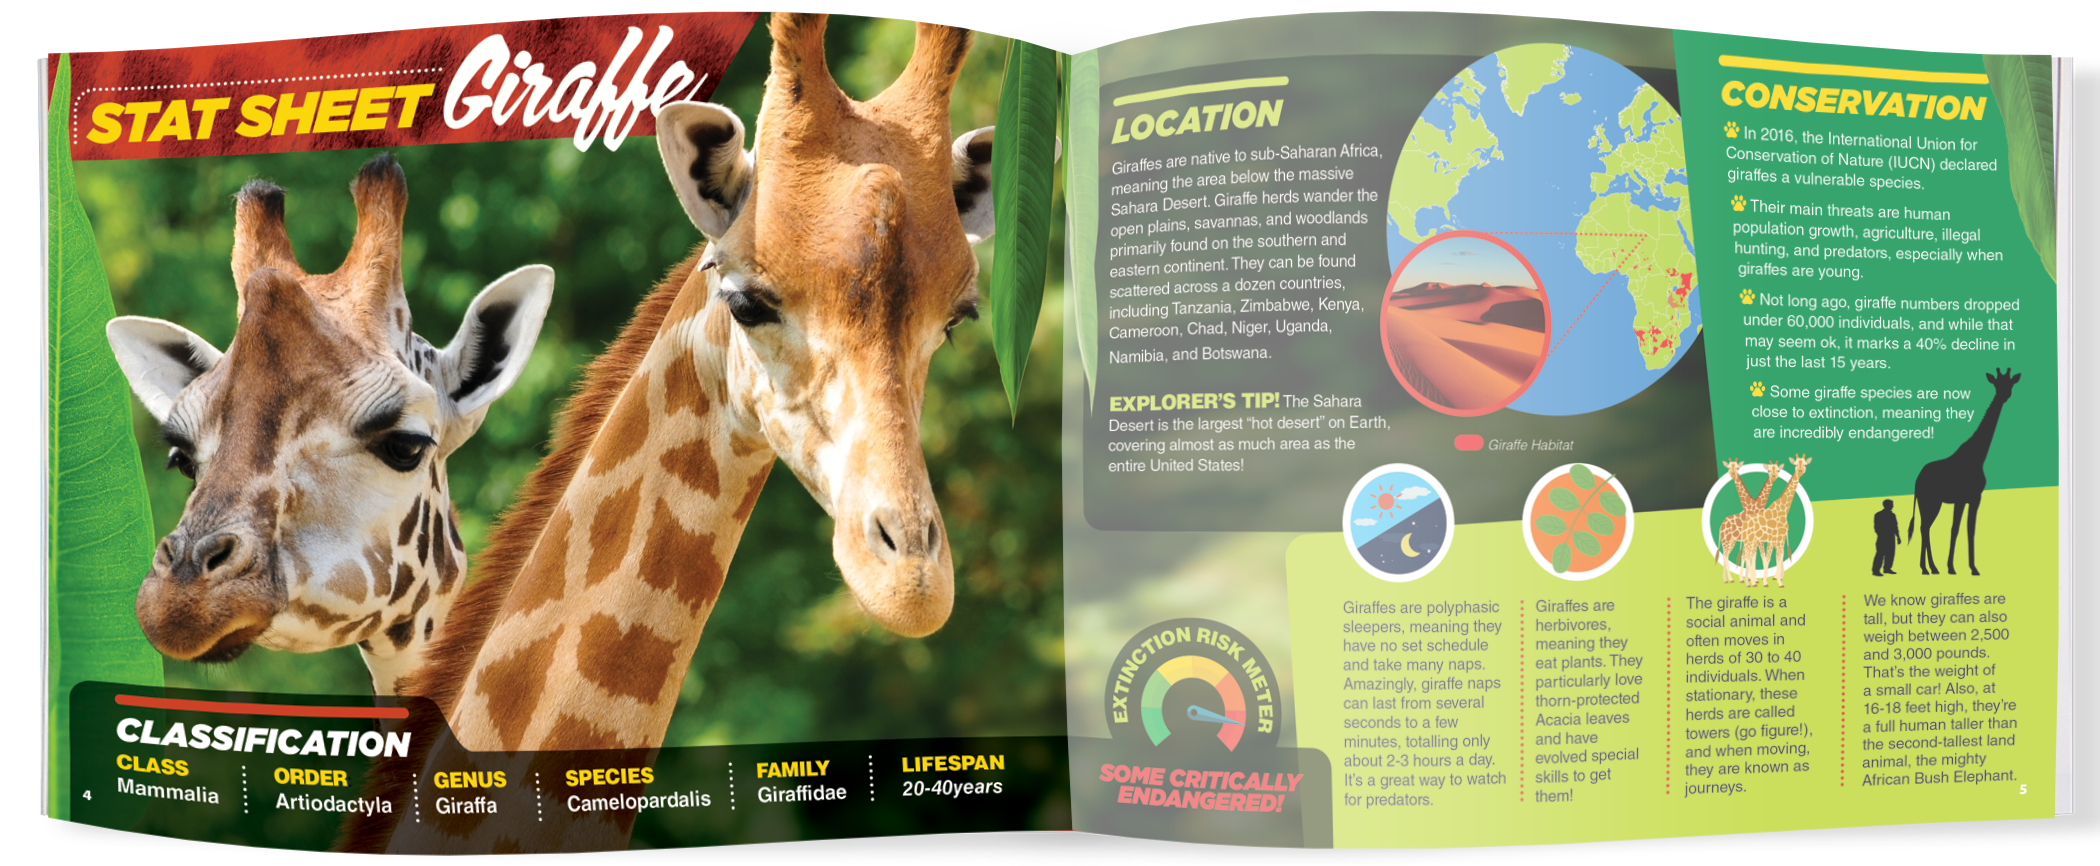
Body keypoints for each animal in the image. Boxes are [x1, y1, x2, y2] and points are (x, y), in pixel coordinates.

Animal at [1745, 455, 1811, 588]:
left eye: (1805, 464)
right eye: (1795, 464)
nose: (1800, 470)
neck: (1783, 510)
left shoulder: (1780, 537)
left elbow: (1778, 557)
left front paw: (1776, 579)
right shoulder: (1775, 537)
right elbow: (1770, 558)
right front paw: (1771, 582)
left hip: (1753, 541)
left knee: (1750, 556)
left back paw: (1751, 581)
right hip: (1750, 540)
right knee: (1747, 556)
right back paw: (1750, 582)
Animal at [1910, 368, 2019, 575]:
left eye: (2010, 383)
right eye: (1997, 384)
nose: (2005, 395)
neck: (1977, 457)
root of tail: (1917, 480)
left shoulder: (1975, 498)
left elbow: (1971, 530)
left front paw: (1973, 568)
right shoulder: (1961, 498)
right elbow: (1955, 529)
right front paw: (1951, 567)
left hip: (1929, 502)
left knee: (1924, 527)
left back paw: (1927, 568)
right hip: (1930, 501)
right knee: (1924, 527)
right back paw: (1931, 568)